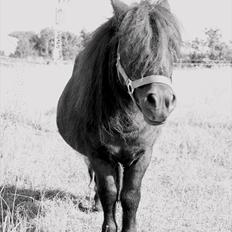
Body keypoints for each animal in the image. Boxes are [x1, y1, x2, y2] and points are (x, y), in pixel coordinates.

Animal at [56, 0, 181, 231]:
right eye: (129, 47)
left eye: (171, 47)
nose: (160, 103)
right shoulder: (99, 155)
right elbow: (109, 192)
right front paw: (108, 225)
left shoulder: (142, 155)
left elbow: (130, 195)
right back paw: (96, 204)